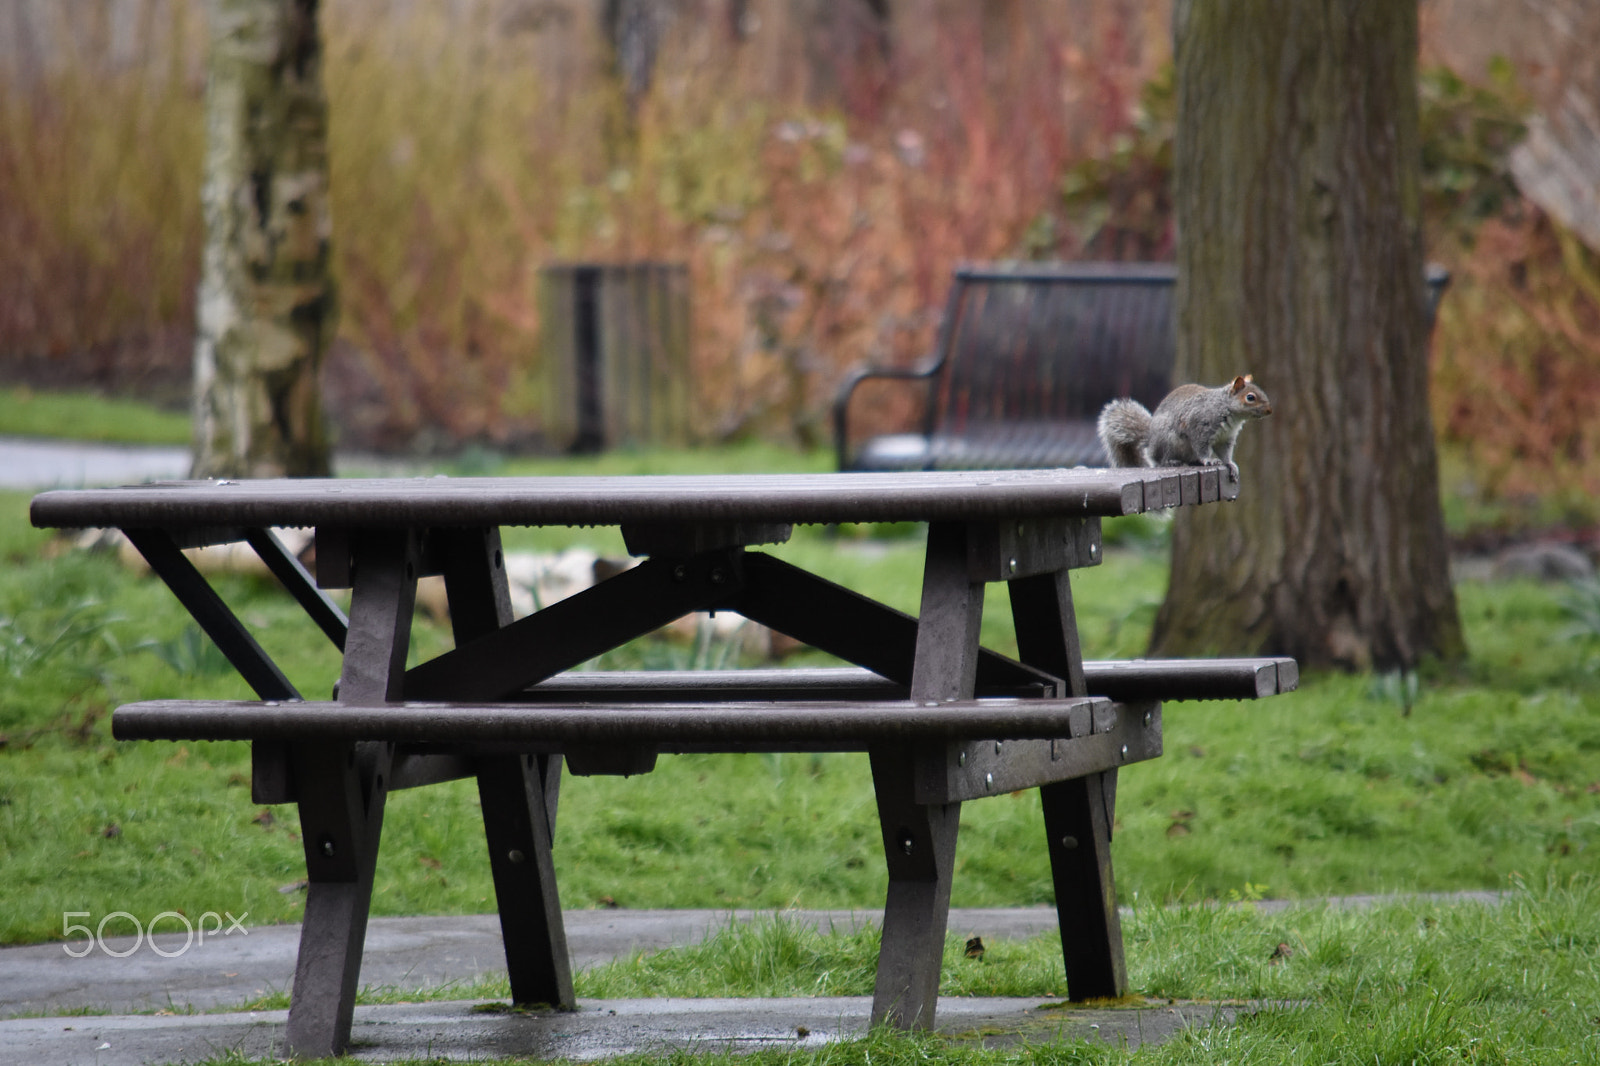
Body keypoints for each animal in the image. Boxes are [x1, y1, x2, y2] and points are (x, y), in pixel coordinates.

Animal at [1096, 375, 1273, 479]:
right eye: (1250, 397)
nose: (1269, 411)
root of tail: (1150, 439)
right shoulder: (1199, 426)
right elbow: (1202, 447)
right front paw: (1209, 460)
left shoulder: (1226, 438)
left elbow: (1225, 454)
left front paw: (1230, 465)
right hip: (1167, 441)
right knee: (1158, 460)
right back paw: (1171, 462)